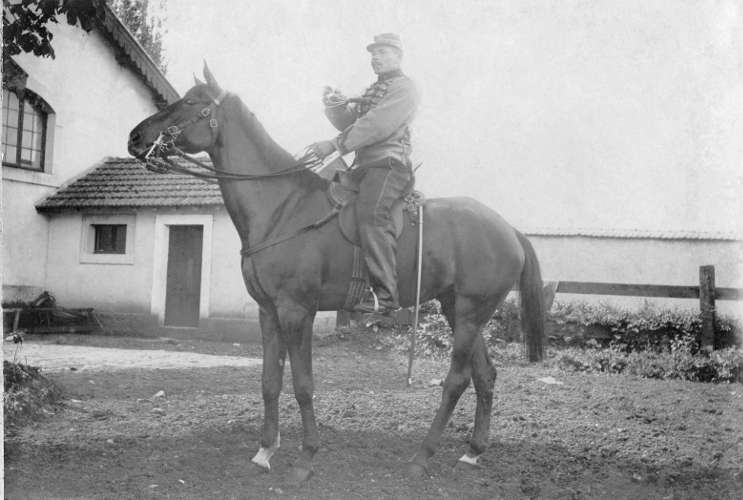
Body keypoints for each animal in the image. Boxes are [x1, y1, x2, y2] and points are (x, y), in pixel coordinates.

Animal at [127, 63, 545, 482]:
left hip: (471, 311)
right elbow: (269, 382)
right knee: (485, 374)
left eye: (191, 102)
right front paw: (265, 450)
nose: (135, 137)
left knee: (456, 380)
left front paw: (306, 458)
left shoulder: (297, 311)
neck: (282, 207)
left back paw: (422, 456)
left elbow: (303, 384)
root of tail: (509, 229)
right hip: (458, 309)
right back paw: (473, 451)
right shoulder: (268, 312)